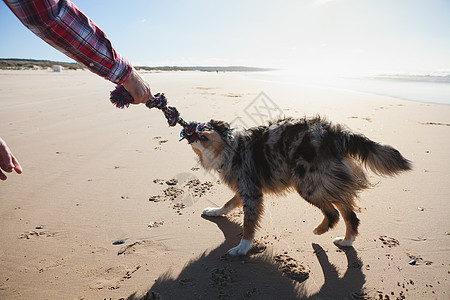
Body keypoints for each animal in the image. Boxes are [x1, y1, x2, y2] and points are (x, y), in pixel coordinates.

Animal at [190, 116, 412, 255]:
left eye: (203, 126)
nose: (189, 128)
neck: (230, 148)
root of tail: (334, 133)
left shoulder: (251, 192)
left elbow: (248, 223)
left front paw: (242, 248)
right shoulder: (246, 187)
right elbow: (228, 203)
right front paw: (214, 211)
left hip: (307, 183)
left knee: (334, 213)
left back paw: (320, 231)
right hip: (327, 182)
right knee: (349, 214)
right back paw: (346, 240)